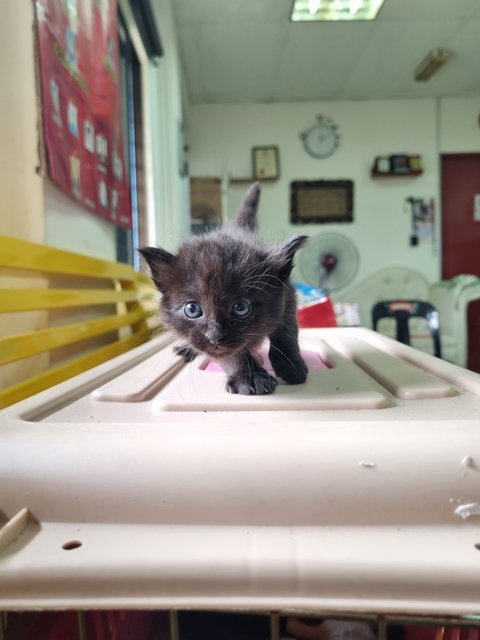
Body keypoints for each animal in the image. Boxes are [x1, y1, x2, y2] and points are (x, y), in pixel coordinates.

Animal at [141, 182, 310, 396]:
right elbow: (232, 353)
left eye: (241, 307)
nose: (214, 336)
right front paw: (250, 378)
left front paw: (291, 364)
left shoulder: (287, 294)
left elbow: (287, 332)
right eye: (192, 309)